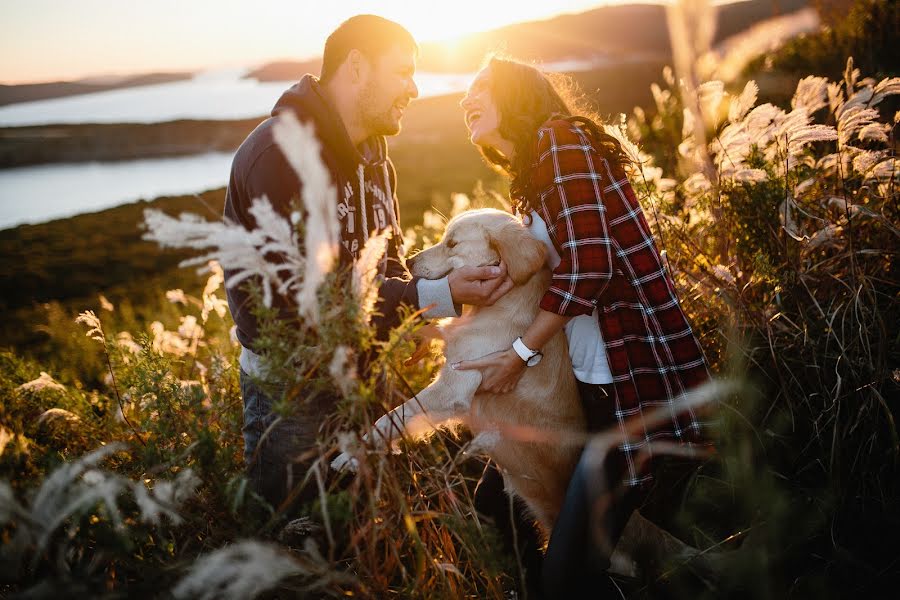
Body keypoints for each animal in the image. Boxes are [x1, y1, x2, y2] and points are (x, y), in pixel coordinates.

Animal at [334, 209, 588, 532]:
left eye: (452, 244)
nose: (409, 263)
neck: (501, 304)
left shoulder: (453, 387)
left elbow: (391, 417)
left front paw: (351, 454)